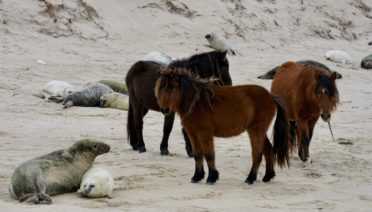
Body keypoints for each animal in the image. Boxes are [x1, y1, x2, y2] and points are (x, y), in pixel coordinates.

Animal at [154, 67, 294, 184]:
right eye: (161, 89)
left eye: (173, 88)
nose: (165, 110)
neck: (196, 103)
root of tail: (271, 97)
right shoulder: (192, 134)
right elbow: (198, 154)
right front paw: (197, 176)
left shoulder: (204, 133)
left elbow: (209, 154)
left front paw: (212, 177)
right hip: (258, 130)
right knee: (268, 149)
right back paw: (267, 176)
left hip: (256, 130)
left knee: (257, 154)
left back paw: (250, 178)